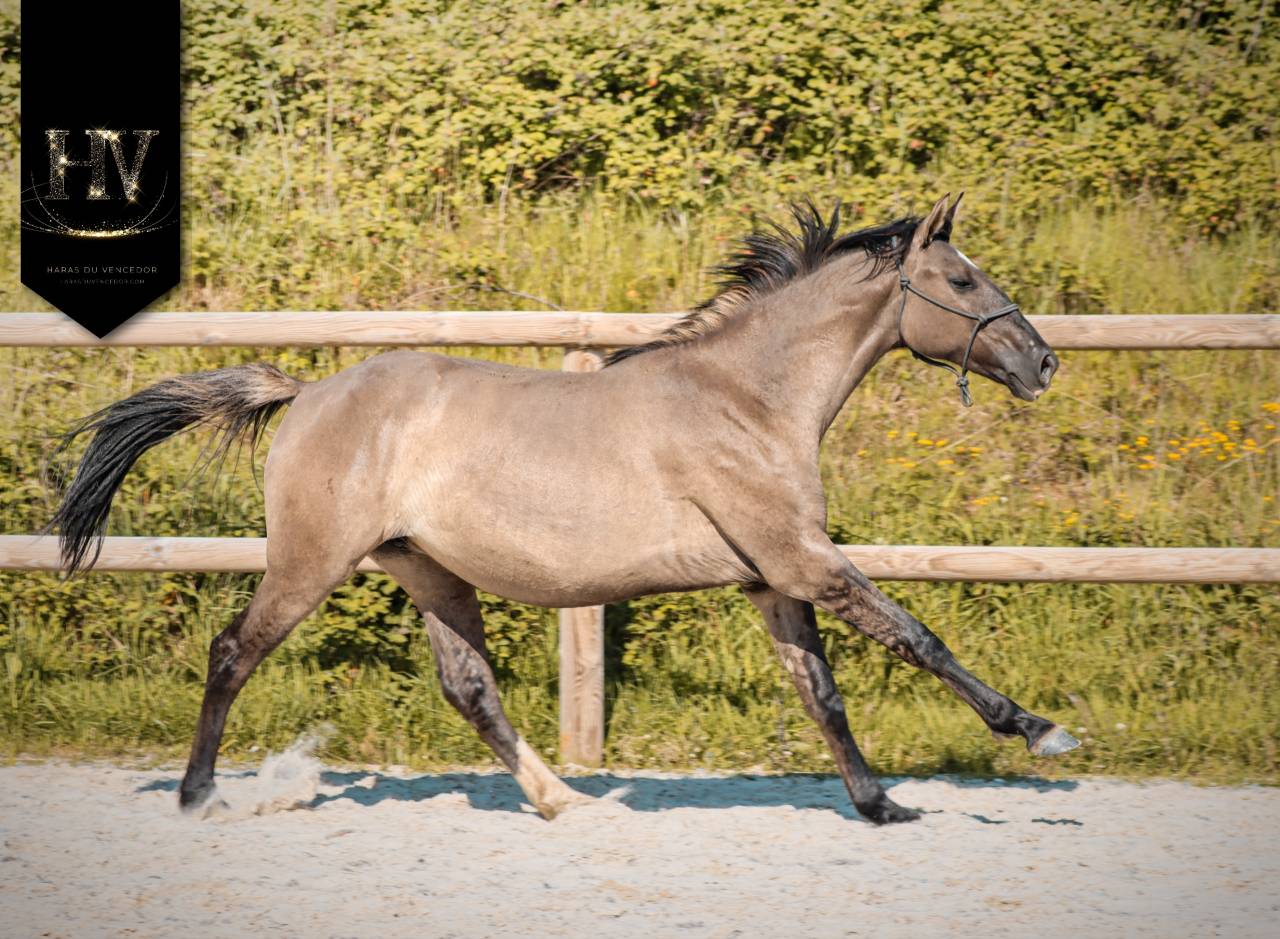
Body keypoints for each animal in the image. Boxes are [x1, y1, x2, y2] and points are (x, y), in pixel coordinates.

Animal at [47, 194, 1074, 825]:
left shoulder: (772, 579)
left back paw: (560, 799)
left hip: (428, 568)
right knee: (232, 653)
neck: (748, 399)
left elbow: (821, 691)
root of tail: (305, 395)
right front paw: (1038, 730)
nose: (1043, 362)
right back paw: (197, 796)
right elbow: (917, 635)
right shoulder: (801, 558)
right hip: (311, 562)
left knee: (469, 686)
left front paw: (880, 804)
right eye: (963, 282)